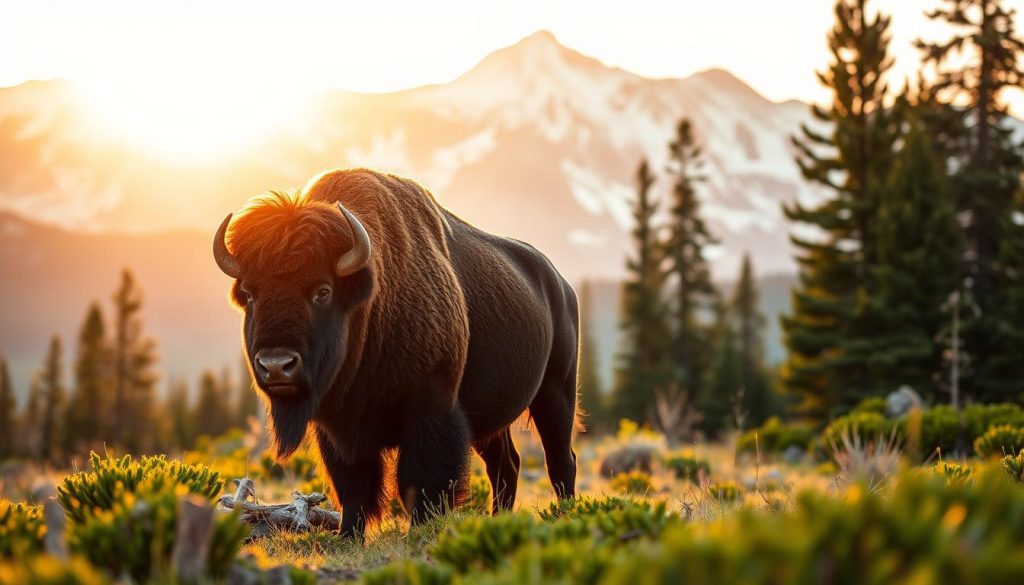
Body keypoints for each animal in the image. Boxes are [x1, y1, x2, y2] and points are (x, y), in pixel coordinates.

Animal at [213, 168, 580, 538]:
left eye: (322, 291)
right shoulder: (338, 431)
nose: (276, 365)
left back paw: (564, 515)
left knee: (560, 458)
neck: (374, 301)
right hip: (491, 421)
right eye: (249, 293)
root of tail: (561, 285)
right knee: (506, 464)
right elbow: (354, 487)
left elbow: (419, 482)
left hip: (556, 393)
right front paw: (348, 535)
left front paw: (418, 532)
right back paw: (499, 519)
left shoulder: (430, 412)